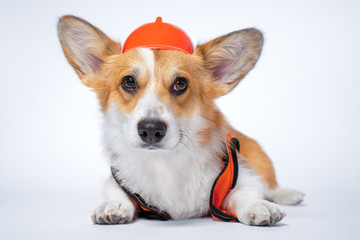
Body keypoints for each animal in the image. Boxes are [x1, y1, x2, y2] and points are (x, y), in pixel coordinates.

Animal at [58, 15, 304, 225]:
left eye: (180, 84)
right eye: (128, 82)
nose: (151, 129)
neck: (163, 162)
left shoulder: (241, 176)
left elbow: (246, 192)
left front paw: (257, 206)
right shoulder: (116, 179)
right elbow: (115, 190)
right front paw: (114, 204)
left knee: (271, 185)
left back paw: (288, 194)